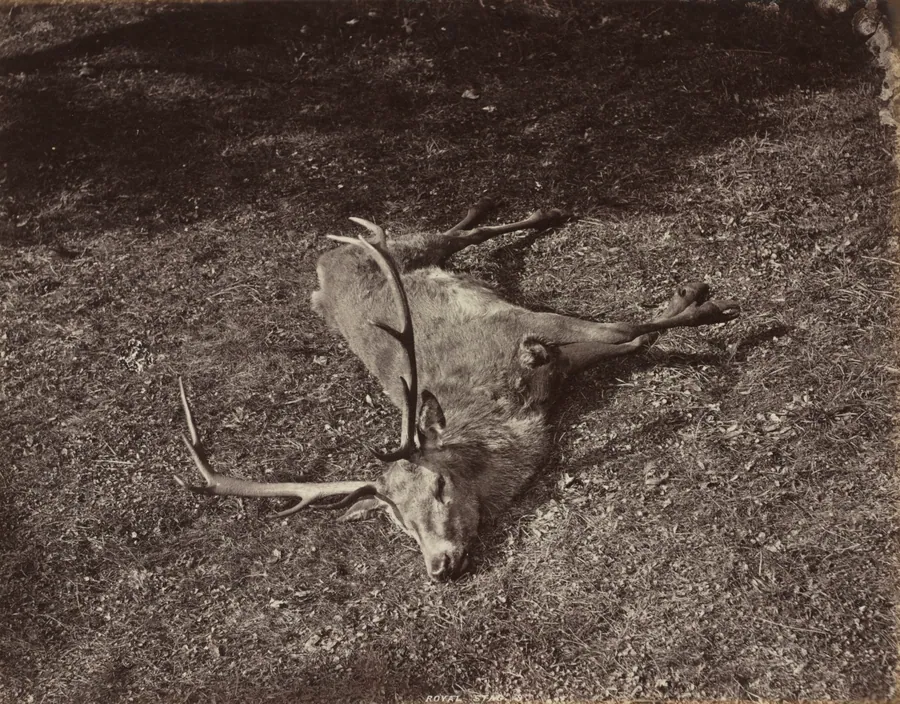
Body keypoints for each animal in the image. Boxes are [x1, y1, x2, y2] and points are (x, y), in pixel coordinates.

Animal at [175, 198, 740, 582]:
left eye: (440, 485)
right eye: (398, 523)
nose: (440, 565)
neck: (506, 405)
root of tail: (323, 263)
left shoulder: (525, 325)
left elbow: (627, 328)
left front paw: (703, 301)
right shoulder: (555, 363)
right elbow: (635, 337)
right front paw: (692, 304)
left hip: (404, 248)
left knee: (445, 233)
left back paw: (534, 210)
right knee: (458, 235)